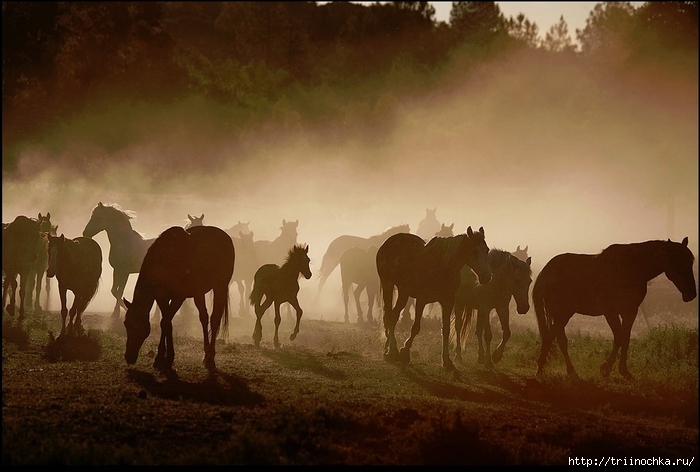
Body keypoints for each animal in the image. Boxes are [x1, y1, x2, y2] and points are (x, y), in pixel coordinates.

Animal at [123, 225, 235, 372]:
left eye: (137, 326)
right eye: (126, 324)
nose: (128, 357)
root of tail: (225, 236)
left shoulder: (179, 297)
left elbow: (166, 322)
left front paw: (167, 358)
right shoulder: (161, 297)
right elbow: (165, 322)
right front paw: (161, 357)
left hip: (220, 286)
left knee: (215, 319)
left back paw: (210, 358)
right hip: (198, 292)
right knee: (204, 317)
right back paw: (205, 355)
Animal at [378, 227, 492, 370]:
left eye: (486, 249)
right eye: (474, 251)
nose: (486, 277)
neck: (442, 267)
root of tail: (388, 242)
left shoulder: (448, 302)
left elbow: (446, 329)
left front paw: (447, 360)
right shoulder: (421, 300)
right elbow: (416, 327)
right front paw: (405, 352)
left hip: (404, 293)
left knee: (393, 316)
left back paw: (390, 350)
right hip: (388, 284)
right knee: (389, 315)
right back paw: (391, 351)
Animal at [536, 236, 696, 380]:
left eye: (690, 262)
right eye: (678, 262)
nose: (692, 294)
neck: (631, 268)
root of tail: (545, 271)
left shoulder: (630, 312)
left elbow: (625, 338)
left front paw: (622, 370)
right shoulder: (611, 312)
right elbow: (619, 337)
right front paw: (606, 368)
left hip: (562, 315)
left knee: (557, 338)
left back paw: (564, 371)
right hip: (562, 314)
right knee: (552, 337)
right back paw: (544, 369)